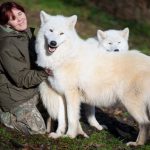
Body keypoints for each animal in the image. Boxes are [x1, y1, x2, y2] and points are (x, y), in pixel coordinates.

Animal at [36, 10, 150, 146]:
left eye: (61, 33)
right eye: (51, 30)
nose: (53, 43)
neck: (64, 56)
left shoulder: (71, 95)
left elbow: (71, 118)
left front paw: (70, 136)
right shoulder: (61, 95)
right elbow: (62, 118)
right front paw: (58, 134)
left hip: (131, 104)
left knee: (145, 123)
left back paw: (137, 144)